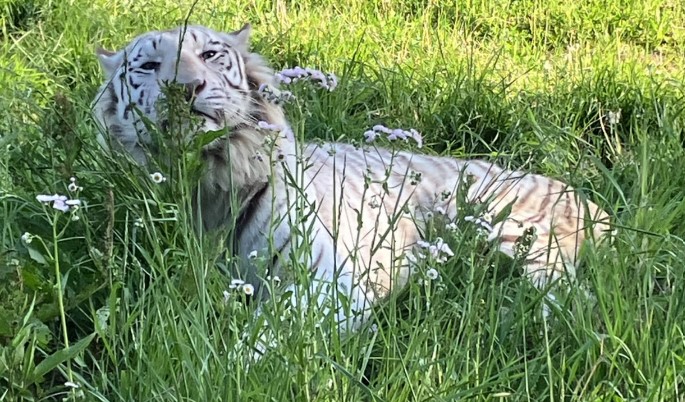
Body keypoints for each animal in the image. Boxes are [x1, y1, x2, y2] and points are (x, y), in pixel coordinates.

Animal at [92, 24, 608, 348]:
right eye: (149, 65)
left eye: (210, 55)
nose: (184, 89)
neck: (208, 178)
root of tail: (582, 196)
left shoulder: (331, 279)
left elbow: (270, 333)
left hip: (506, 236)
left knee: (567, 300)